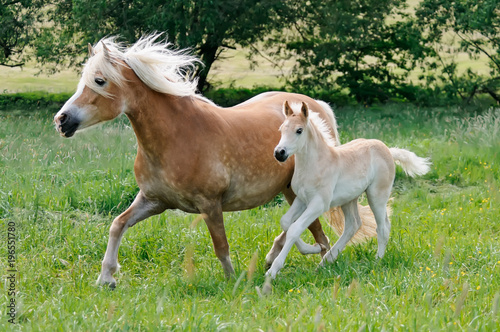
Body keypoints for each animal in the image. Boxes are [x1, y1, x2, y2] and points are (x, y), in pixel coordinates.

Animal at [51, 34, 376, 288]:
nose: (62, 120)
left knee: (315, 229)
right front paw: (106, 278)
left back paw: (316, 261)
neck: (177, 136)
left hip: (300, 192)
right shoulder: (154, 201)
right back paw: (275, 257)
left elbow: (221, 247)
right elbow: (117, 225)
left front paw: (234, 283)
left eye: (99, 80)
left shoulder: (209, 204)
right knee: (298, 224)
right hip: (289, 190)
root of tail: (316, 107)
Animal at [268, 101, 432, 278]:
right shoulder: (302, 199)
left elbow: (295, 228)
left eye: (299, 130)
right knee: (353, 225)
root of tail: (388, 150)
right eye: (281, 129)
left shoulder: (319, 204)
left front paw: (273, 271)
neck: (315, 164)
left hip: (376, 196)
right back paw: (325, 261)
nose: (279, 153)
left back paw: (377, 261)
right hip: (348, 198)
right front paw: (316, 248)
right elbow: (285, 222)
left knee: (382, 227)